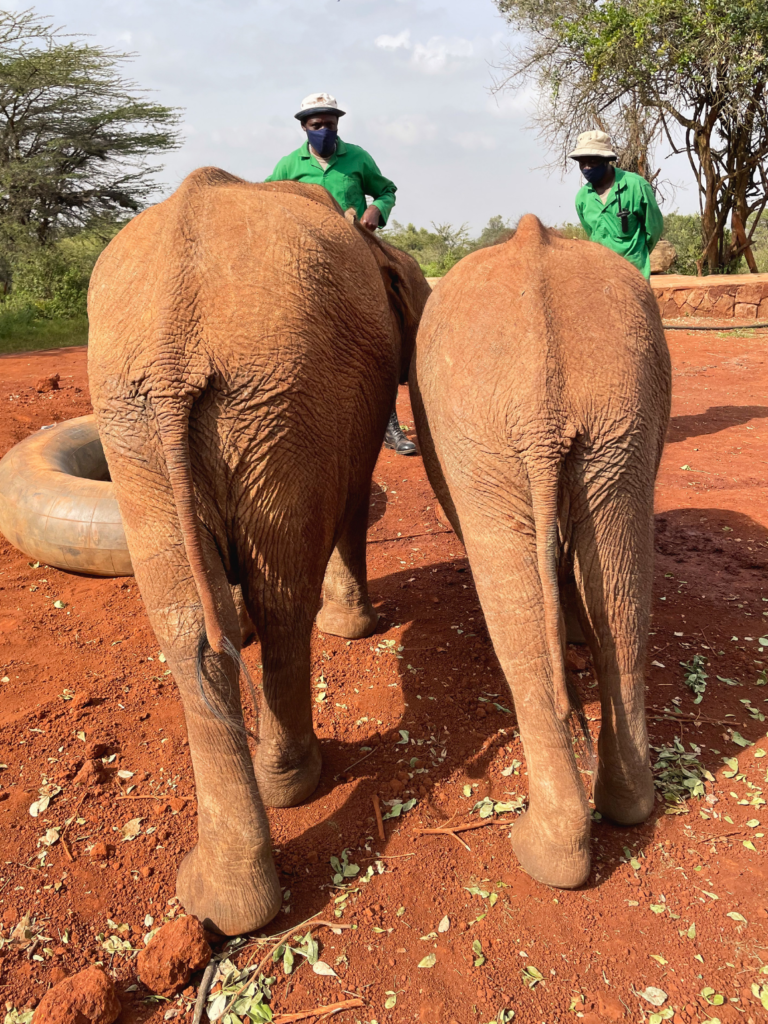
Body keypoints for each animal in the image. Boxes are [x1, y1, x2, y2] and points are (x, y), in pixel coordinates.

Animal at [411, 216, 671, 888]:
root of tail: (541, 402)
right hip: (621, 416)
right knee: (622, 603)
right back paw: (626, 809)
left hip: (485, 432)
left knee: (518, 614)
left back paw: (542, 855)